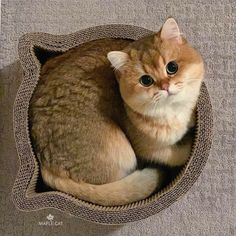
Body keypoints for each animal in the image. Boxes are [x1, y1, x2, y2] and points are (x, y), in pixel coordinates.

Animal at [29, 18, 203, 206]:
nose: (165, 86)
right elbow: (175, 155)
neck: (174, 111)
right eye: (146, 80)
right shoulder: (148, 149)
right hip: (124, 152)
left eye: (172, 67)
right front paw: (189, 145)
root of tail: (45, 163)